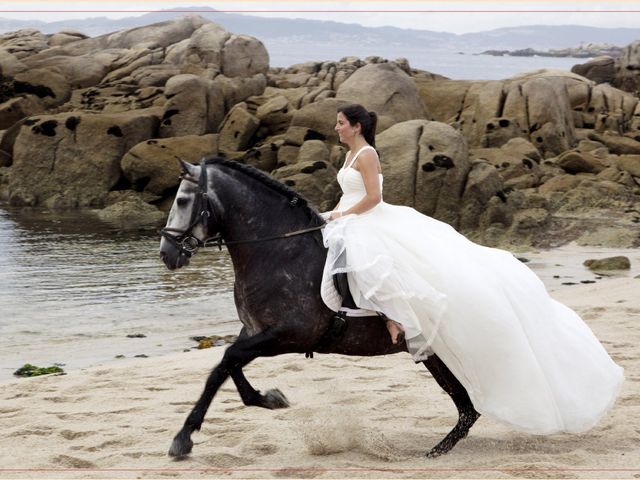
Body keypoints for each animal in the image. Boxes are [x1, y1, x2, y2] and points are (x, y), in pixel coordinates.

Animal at [160, 157, 480, 458]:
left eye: (182, 200)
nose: (166, 253)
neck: (279, 251)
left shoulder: (289, 335)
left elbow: (226, 361)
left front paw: (184, 437)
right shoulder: (253, 330)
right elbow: (228, 367)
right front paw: (269, 399)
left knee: (469, 407)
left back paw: (435, 452)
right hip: (433, 355)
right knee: (468, 408)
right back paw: (437, 450)